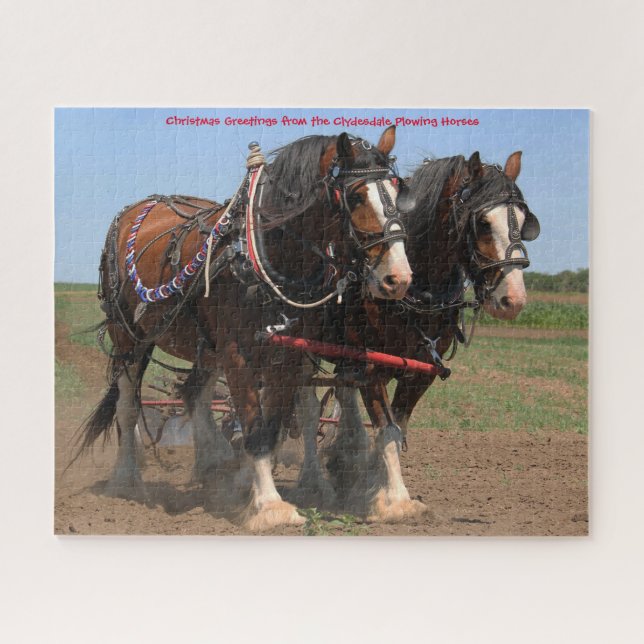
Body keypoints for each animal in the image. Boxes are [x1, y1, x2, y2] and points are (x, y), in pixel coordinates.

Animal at [76, 127, 414, 531]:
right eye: (356, 195)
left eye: (396, 190)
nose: (399, 278)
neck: (265, 255)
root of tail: (134, 211)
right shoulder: (237, 354)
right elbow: (253, 425)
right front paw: (269, 506)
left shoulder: (288, 355)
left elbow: (272, 425)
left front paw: (256, 492)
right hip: (129, 337)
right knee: (128, 405)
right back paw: (127, 479)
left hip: (205, 345)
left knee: (195, 393)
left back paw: (214, 465)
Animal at [297, 150, 540, 522]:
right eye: (483, 223)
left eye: (525, 219)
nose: (513, 300)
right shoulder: (372, 369)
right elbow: (387, 431)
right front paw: (397, 499)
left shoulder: (421, 371)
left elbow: (398, 428)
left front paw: (373, 483)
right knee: (309, 411)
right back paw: (313, 480)